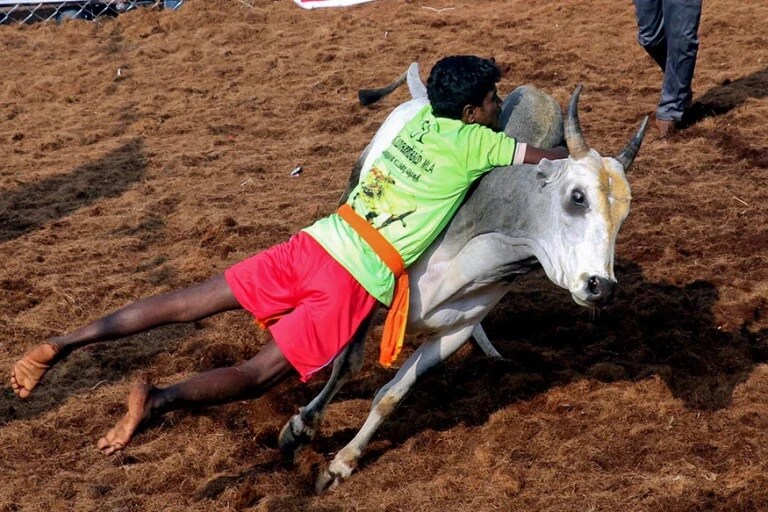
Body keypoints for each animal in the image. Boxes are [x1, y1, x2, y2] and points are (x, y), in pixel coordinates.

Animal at [276, 64, 648, 492]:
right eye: (577, 196)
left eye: (624, 215)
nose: (600, 286)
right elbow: (347, 364)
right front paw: (300, 429)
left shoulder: (455, 331)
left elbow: (391, 395)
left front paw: (342, 463)